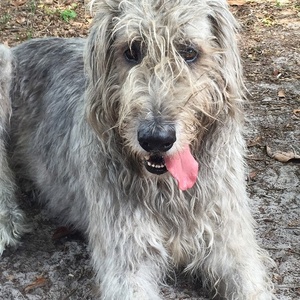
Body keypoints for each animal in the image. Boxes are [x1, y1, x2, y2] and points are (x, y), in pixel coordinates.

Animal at [1, 0, 276, 298]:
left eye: (189, 52)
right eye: (132, 51)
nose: (156, 139)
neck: (168, 190)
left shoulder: (230, 244)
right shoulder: (127, 259)